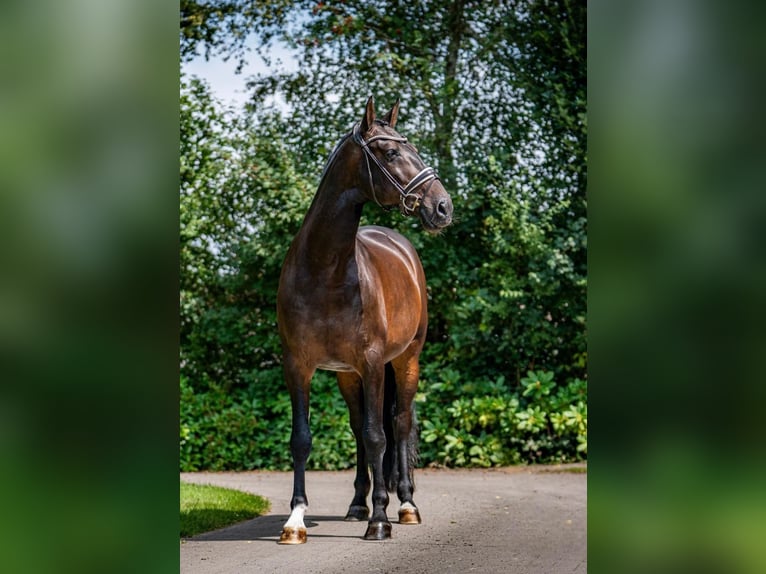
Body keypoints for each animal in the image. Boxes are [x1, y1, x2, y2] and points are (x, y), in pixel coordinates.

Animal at [278, 95, 452, 544]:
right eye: (391, 153)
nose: (442, 206)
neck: (325, 270)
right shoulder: (298, 366)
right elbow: (302, 439)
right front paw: (295, 521)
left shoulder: (373, 363)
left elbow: (379, 437)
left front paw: (381, 520)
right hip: (347, 375)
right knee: (359, 428)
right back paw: (358, 503)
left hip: (405, 361)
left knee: (399, 423)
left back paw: (404, 504)